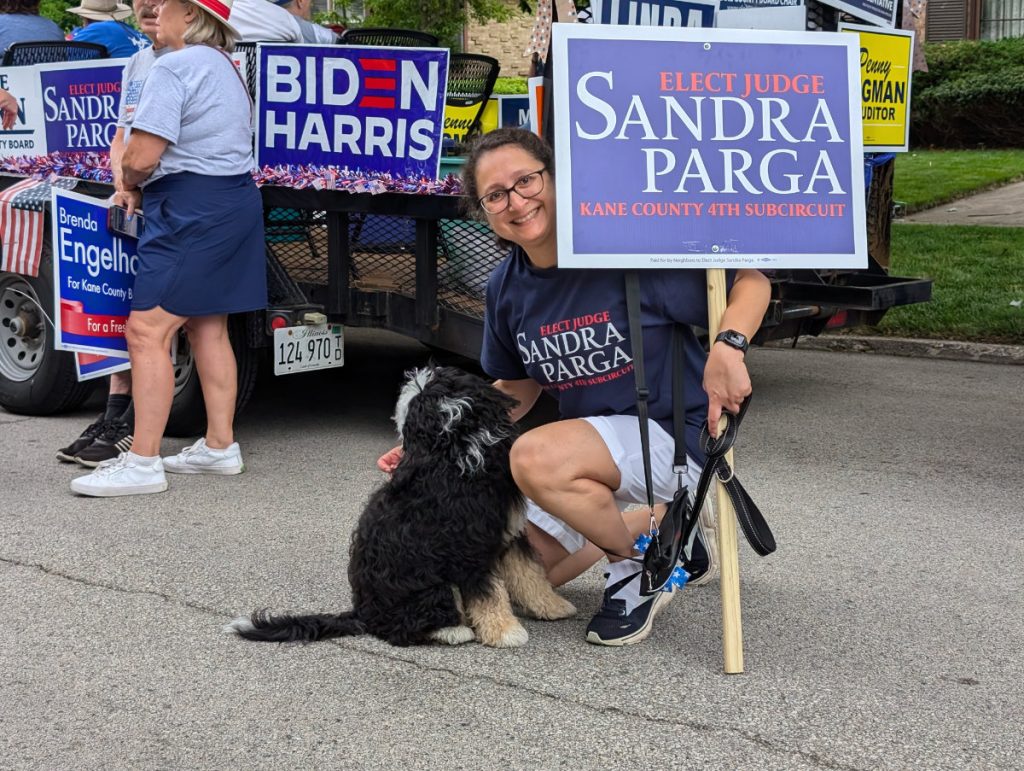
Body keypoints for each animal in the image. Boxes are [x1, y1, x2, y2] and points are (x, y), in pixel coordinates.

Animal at [226, 364, 577, 647]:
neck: (457, 444)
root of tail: (362, 612)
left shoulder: (509, 534)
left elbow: (530, 574)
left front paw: (554, 606)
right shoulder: (469, 552)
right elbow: (488, 593)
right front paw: (505, 632)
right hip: (430, 588)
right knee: (402, 629)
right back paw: (452, 631)